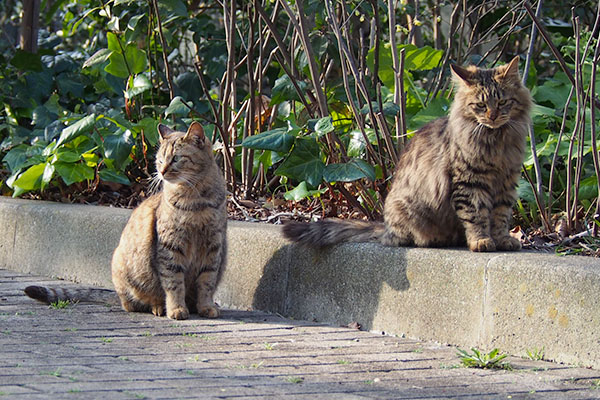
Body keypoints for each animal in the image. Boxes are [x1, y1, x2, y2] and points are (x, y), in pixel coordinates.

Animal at [25, 120, 227, 320]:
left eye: (176, 158)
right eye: (160, 160)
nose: (161, 171)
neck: (195, 199)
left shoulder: (213, 247)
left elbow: (206, 283)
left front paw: (206, 306)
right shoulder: (170, 247)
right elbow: (174, 284)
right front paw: (176, 309)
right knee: (133, 303)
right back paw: (158, 307)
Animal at [284, 55, 532, 253]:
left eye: (502, 102)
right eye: (480, 105)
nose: (492, 117)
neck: (497, 142)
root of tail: (385, 228)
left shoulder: (507, 181)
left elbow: (500, 215)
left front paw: (502, 239)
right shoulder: (470, 180)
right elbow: (476, 214)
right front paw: (481, 241)